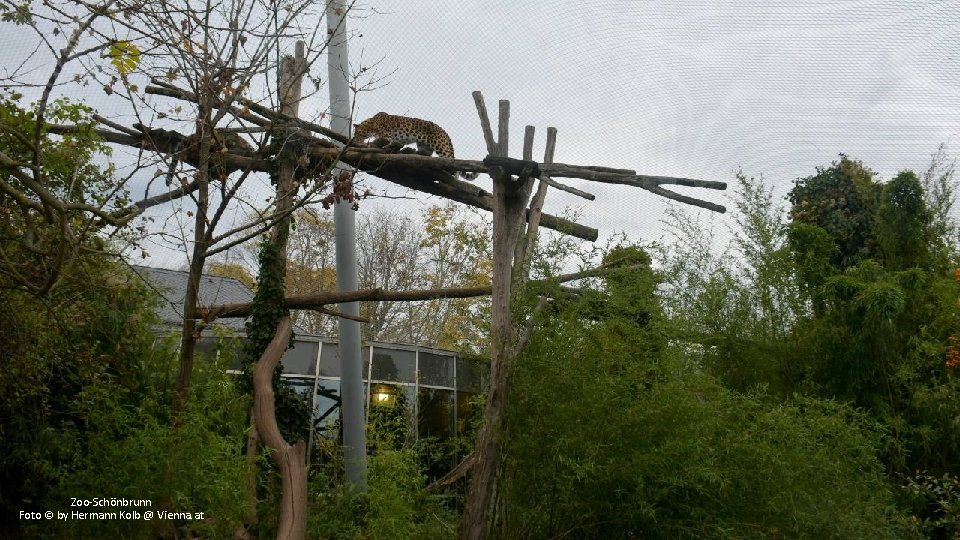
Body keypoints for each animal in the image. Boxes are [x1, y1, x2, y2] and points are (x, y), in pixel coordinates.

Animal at [350, 112, 478, 181]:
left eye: (356, 133)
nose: (355, 139)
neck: (371, 125)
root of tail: (444, 131)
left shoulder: (386, 136)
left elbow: (383, 142)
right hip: (423, 145)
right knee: (425, 155)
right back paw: (411, 152)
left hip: (440, 145)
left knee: (451, 161)